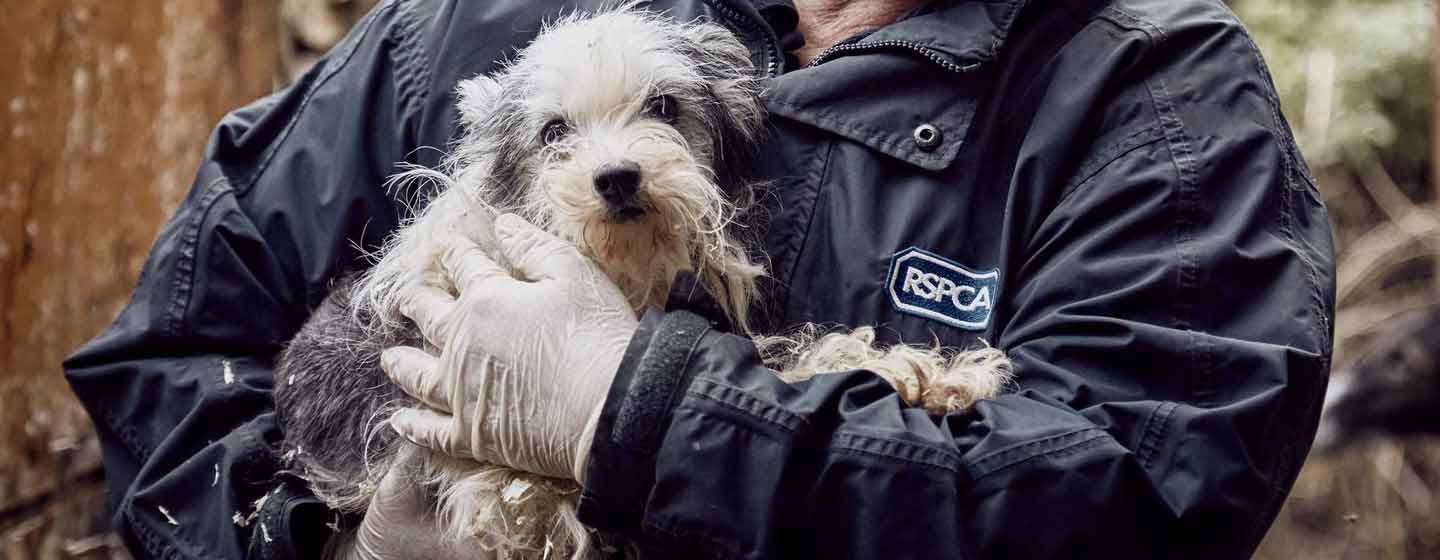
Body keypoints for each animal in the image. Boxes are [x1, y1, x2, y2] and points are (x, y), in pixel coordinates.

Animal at [272, 6, 1013, 555]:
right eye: (553, 132)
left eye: (663, 106)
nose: (617, 177)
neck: (621, 268)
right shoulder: (507, 488)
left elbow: (784, 363)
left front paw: (930, 373)